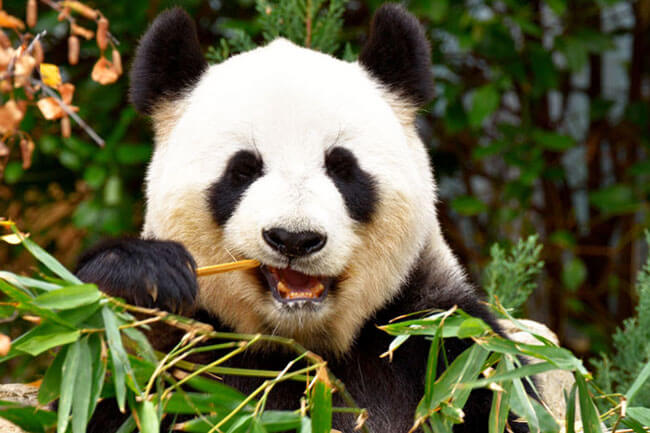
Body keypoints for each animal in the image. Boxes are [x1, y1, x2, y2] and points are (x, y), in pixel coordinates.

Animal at [77, 4, 532, 433]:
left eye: (342, 168)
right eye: (242, 170)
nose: (294, 239)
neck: (301, 347)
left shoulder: (443, 343)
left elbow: (490, 395)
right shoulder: (185, 353)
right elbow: (105, 379)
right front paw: (143, 278)